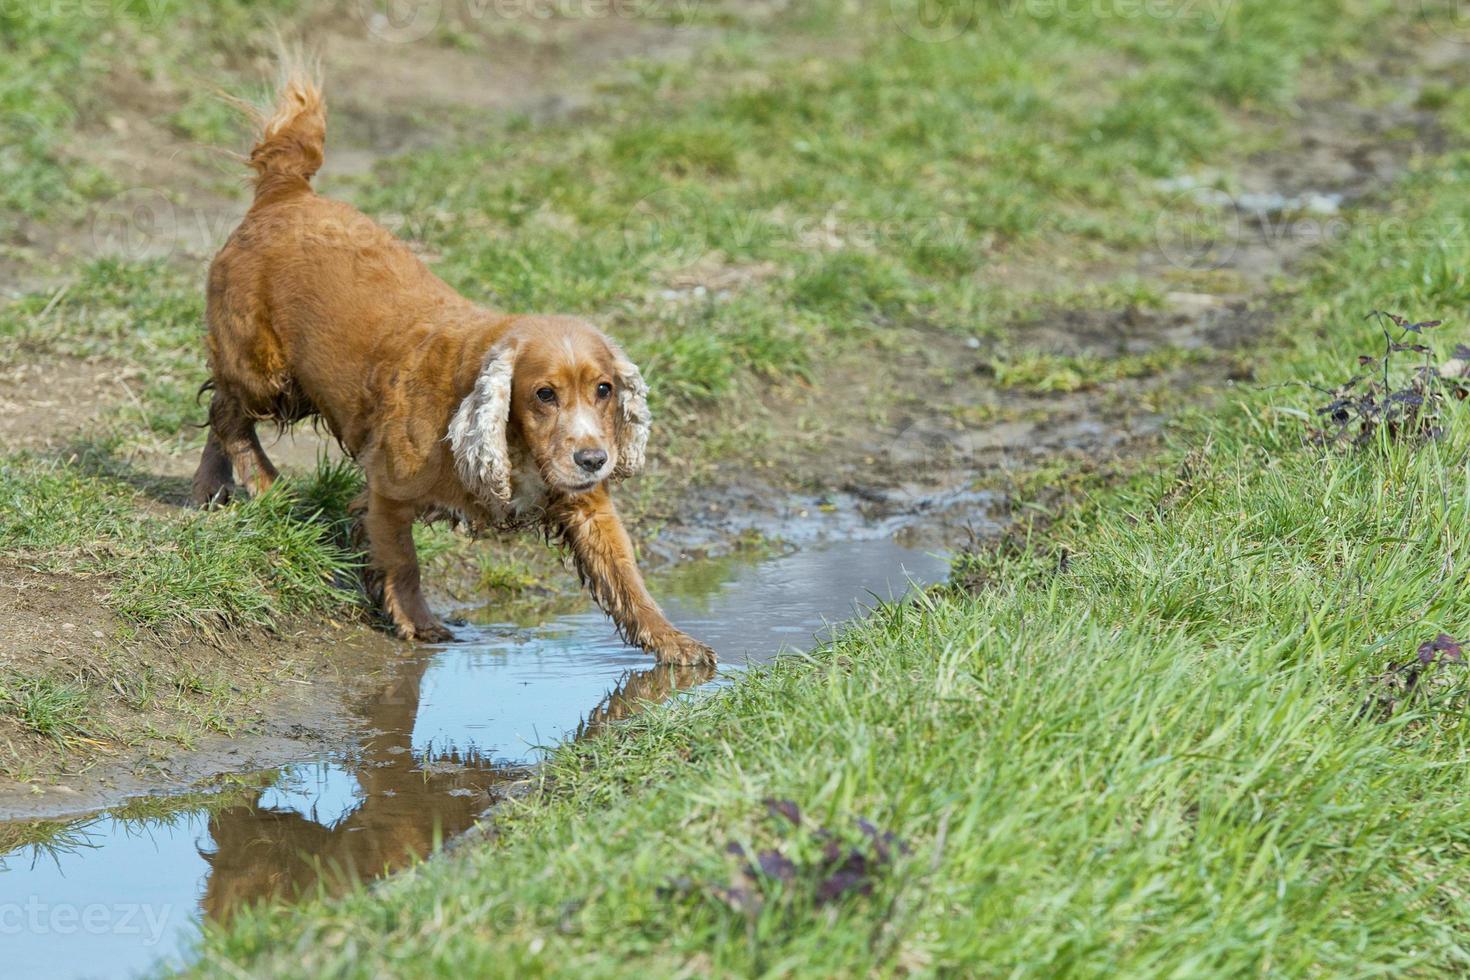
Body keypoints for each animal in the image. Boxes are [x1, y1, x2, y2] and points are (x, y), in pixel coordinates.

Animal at [192, 67, 714, 667]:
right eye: (544, 394)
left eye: (604, 389)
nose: (593, 459)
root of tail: (286, 190)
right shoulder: (388, 494)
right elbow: (403, 563)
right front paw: (420, 625)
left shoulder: (586, 505)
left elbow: (627, 574)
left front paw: (676, 644)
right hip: (266, 372)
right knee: (227, 409)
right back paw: (262, 484)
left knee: (219, 407)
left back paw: (211, 491)